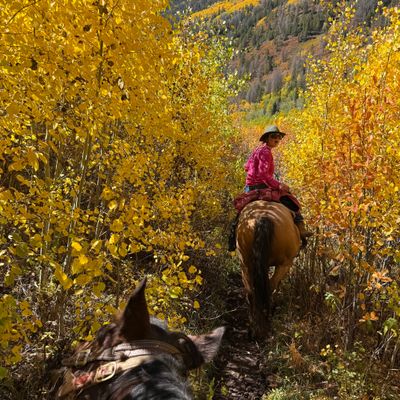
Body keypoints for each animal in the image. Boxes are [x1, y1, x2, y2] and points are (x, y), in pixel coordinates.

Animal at [236, 200, 301, 338]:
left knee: (251, 292)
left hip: (245, 264)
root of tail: (263, 217)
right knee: (270, 286)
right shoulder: (285, 264)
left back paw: (254, 327)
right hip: (285, 263)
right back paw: (268, 318)